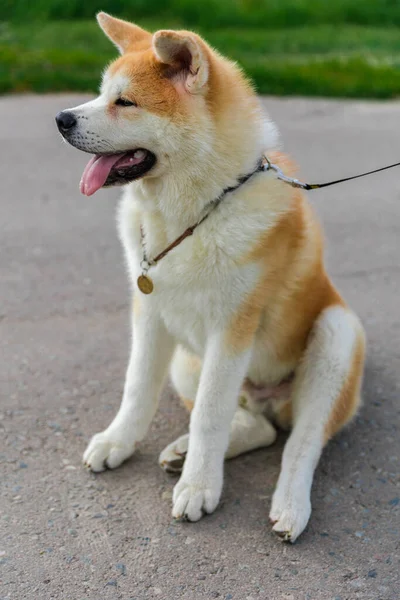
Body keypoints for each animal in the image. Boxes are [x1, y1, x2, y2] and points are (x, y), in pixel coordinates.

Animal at [56, 12, 366, 544]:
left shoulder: (232, 330)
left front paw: (199, 488)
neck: (190, 216)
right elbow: (137, 387)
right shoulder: (150, 315)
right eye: (99, 95)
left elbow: (209, 415)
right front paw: (119, 442)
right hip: (187, 359)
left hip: (335, 334)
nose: (61, 119)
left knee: (301, 441)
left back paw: (289, 506)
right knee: (259, 427)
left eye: (125, 102)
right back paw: (183, 452)